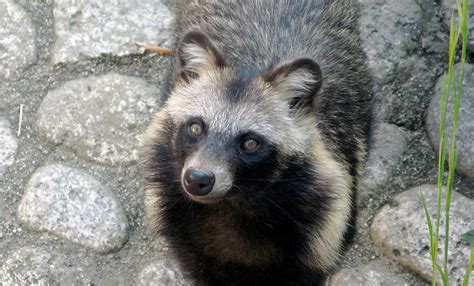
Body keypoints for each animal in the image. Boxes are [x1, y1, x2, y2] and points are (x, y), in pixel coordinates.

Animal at [143, 0, 372, 284]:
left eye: (250, 143)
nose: (198, 179)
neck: (231, 205)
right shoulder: (182, 226)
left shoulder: (323, 231)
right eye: (195, 127)